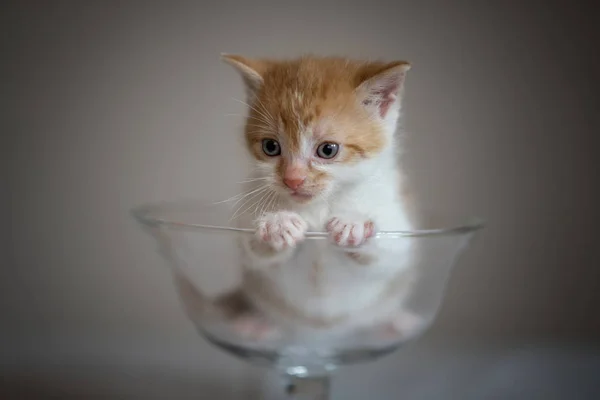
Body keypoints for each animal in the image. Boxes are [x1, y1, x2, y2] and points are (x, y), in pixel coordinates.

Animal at [196, 54, 418, 344]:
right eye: (270, 147)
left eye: (328, 150)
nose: (293, 179)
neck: (317, 207)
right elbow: (253, 251)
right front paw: (277, 225)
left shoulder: (396, 213)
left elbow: (393, 252)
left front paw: (354, 223)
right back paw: (257, 322)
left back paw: (395, 322)